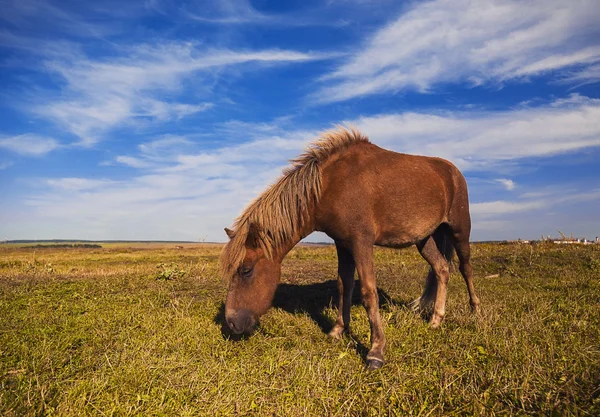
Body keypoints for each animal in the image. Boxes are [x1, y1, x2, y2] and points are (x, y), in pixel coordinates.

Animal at [219, 125, 478, 368]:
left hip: (459, 230)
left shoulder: (361, 242)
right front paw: (338, 330)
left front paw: (376, 351)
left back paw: (475, 311)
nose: (231, 322)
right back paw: (436, 319)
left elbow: (368, 292)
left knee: (465, 268)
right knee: (442, 269)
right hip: (423, 241)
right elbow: (344, 286)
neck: (331, 186)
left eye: (246, 270)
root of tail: (453, 172)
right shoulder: (342, 244)